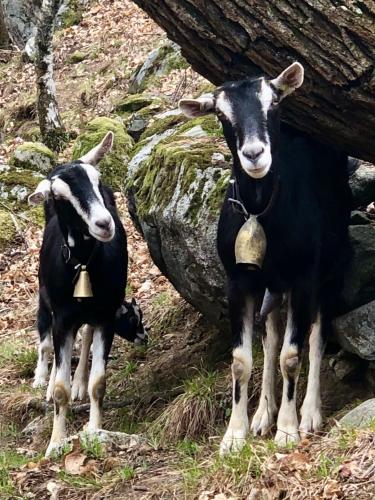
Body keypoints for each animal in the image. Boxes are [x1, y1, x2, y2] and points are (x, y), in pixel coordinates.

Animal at [29, 133, 131, 458]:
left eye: (98, 181)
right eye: (59, 197)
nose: (104, 223)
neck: (85, 264)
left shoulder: (106, 315)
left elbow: (99, 383)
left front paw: (94, 431)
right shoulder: (62, 319)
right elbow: (60, 387)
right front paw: (54, 444)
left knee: (84, 337)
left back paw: (78, 384)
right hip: (45, 299)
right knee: (46, 339)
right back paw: (45, 381)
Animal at [179, 61, 352, 454]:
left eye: (272, 102)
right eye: (221, 114)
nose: (255, 154)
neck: (261, 212)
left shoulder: (304, 277)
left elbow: (292, 354)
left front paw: (287, 431)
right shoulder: (239, 281)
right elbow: (242, 360)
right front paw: (234, 435)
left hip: (331, 268)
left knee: (318, 334)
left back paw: (309, 413)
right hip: (273, 283)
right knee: (270, 336)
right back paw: (262, 415)